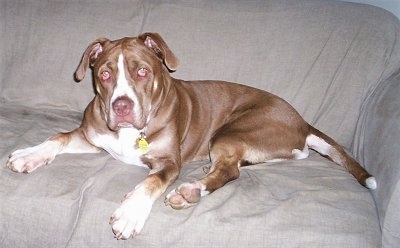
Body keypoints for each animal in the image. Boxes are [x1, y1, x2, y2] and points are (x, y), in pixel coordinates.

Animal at [5, 32, 376, 239]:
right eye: (106, 73)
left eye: (142, 70)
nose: (121, 106)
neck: (130, 132)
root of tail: (302, 122)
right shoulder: (91, 134)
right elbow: (58, 137)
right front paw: (28, 155)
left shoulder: (169, 162)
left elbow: (150, 182)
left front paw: (130, 213)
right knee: (249, 164)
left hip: (233, 129)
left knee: (230, 171)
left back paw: (190, 191)